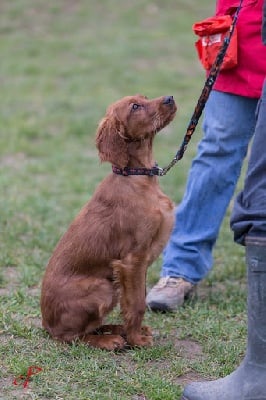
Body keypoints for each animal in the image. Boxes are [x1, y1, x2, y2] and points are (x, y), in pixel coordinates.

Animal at [40, 94, 176, 350]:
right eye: (135, 106)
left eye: (144, 97)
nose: (169, 98)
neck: (135, 176)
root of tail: (46, 324)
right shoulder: (133, 259)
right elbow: (137, 305)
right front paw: (136, 340)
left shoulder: (138, 264)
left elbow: (134, 300)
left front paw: (134, 334)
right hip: (102, 287)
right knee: (71, 337)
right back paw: (110, 339)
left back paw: (115, 330)